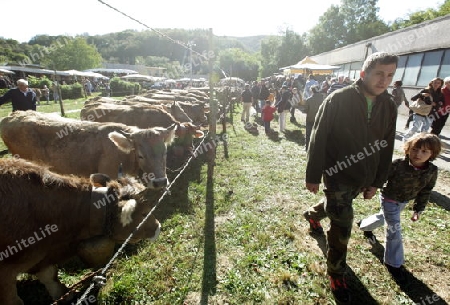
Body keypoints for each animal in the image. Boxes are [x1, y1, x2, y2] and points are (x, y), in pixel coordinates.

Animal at [0, 157, 162, 304]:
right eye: (144, 213)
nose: (158, 227)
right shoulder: (6, 273)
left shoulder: (41, 257)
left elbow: (50, 277)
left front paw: (66, 296)